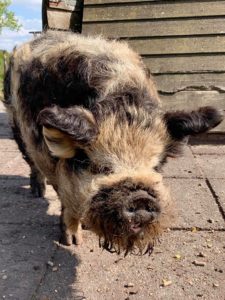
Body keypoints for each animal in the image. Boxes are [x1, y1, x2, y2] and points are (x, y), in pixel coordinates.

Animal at [3, 31, 223, 254]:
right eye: (102, 168)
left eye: (156, 166)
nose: (141, 198)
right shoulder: (47, 156)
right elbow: (66, 198)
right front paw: (73, 242)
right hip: (15, 121)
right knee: (30, 162)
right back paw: (38, 193)